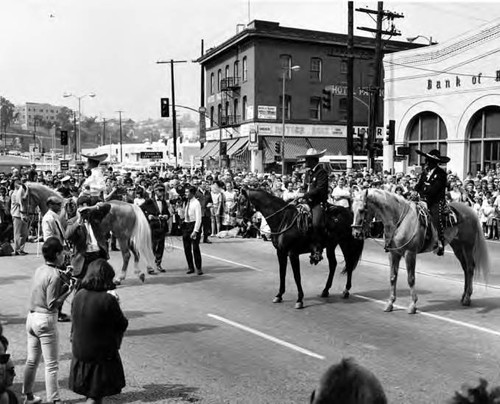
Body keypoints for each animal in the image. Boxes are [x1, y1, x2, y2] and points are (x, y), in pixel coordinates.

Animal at [17, 181, 156, 282]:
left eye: (24, 199)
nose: (24, 218)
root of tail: (131, 205)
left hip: (122, 237)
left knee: (127, 255)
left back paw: (120, 277)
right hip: (127, 236)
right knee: (136, 252)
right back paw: (139, 273)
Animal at [350, 188, 490, 314]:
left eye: (362, 210)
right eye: (352, 210)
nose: (356, 233)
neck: (400, 220)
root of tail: (469, 210)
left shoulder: (410, 253)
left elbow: (410, 278)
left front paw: (412, 305)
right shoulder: (393, 254)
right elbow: (392, 277)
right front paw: (390, 303)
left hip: (467, 246)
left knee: (470, 268)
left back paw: (467, 298)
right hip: (458, 247)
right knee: (465, 269)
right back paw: (464, 296)